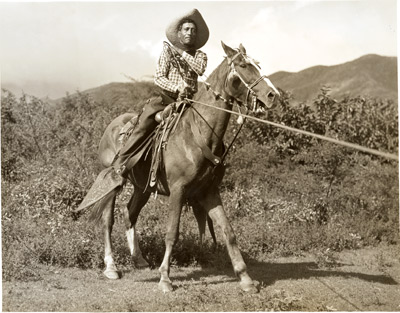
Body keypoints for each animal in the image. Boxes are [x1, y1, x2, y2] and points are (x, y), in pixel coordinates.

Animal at [89, 42, 280, 292]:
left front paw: (245, 279)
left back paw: (139, 259)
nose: (273, 95)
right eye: (243, 65)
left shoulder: (208, 191)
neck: (198, 132)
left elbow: (228, 231)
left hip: (143, 187)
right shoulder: (178, 190)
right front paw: (165, 278)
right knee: (108, 221)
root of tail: (112, 126)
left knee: (130, 213)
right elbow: (172, 233)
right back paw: (111, 267)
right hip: (113, 184)